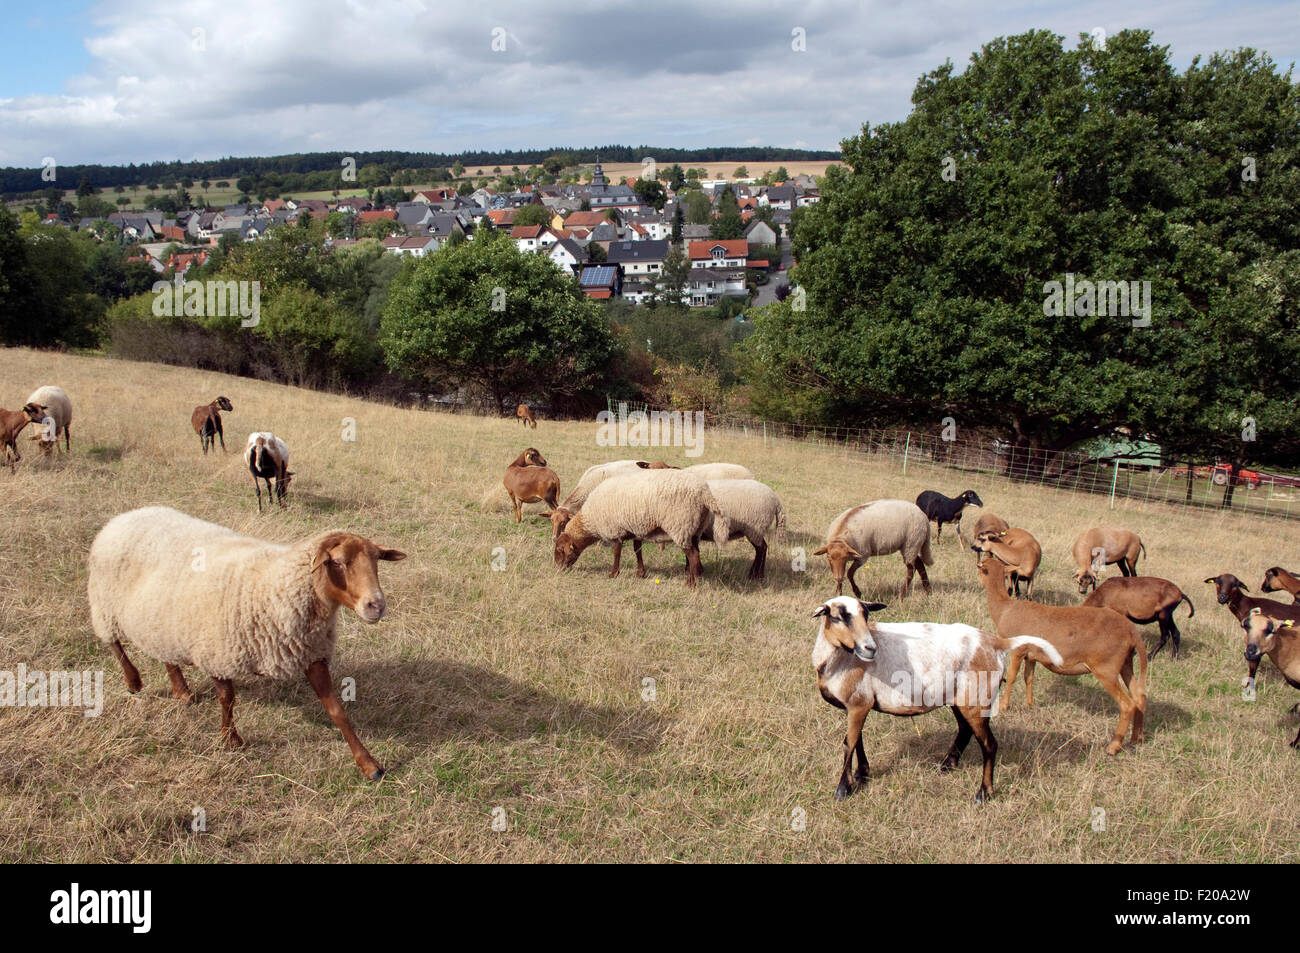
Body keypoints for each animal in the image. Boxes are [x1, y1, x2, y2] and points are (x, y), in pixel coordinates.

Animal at [88, 504, 405, 780]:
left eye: (376, 561)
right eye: (337, 562)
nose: (376, 605)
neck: (275, 585)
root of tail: (126, 515)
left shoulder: (311, 653)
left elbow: (337, 711)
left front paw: (369, 765)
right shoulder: (217, 653)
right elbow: (227, 699)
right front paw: (231, 739)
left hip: (159, 620)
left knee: (164, 652)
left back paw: (182, 691)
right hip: (104, 606)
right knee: (115, 645)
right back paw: (133, 681)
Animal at [551, 468, 733, 587]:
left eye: (560, 550)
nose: (558, 569)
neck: (590, 520)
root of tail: (704, 492)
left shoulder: (615, 529)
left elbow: (617, 552)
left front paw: (613, 574)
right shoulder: (634, 528)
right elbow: (637, 550)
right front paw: (640, 573)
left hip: (680, 525)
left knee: (693, 555)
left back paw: (691, 584)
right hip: (694, 528)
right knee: (695, 553)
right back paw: (692, 577)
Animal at [811, 598, 1066, 800]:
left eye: (866, 615)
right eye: (838, 617)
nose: (870, 648)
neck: (836, 660)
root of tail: (996, 643)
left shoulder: (858, 704)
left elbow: (849, 743)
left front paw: (842, 790)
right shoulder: (857, 705)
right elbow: (858, 740)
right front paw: (861, 775)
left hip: (976, 701)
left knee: (989, 744)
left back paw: (983, 793)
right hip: (960, 700)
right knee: (965, 729)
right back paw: (946, 765)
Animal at [977, 561, 1149, 754]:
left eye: (979, 567)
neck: (1004, 608)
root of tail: (1132, 632)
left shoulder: (1018, 650)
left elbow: (1012, 677)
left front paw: (1004, 706)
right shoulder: (1032, 656)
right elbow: (1029, 677)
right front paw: (1030, 704)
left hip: (1106, 669)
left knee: (1127, 705)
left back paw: (1113, 747)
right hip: (1126, 664)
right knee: (1140, 697)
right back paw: (1136, 740)